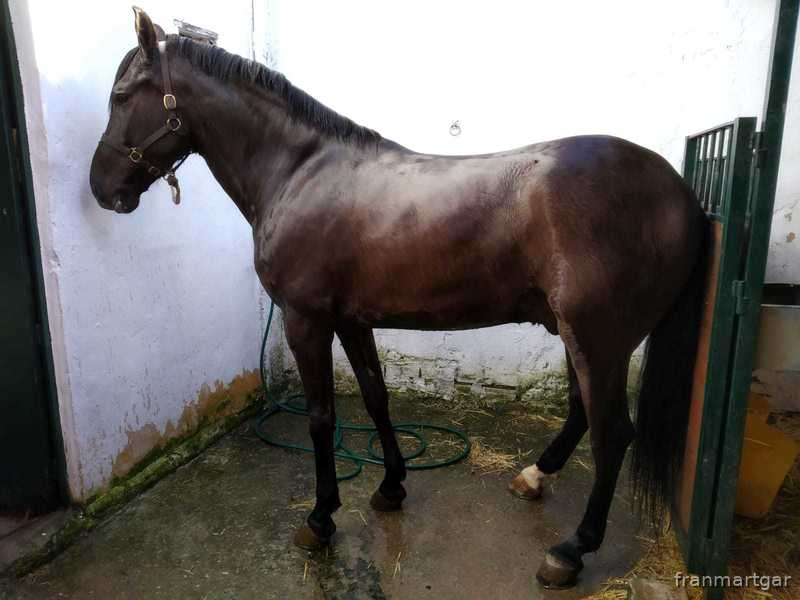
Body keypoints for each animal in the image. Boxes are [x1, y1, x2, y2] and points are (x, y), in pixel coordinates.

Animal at [90, 8, 709, 589]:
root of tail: (678, 192)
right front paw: (390, 486)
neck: (299, 171)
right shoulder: (351, 320)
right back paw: (534, 478)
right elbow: (375, 397)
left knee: (612, 432)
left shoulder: (305, 320)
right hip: (581, 335)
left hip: (597, 339)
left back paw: (571, 550)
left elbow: (321, 416)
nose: (101, 187)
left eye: (121, 96)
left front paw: (320, 518)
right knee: (583, 413)